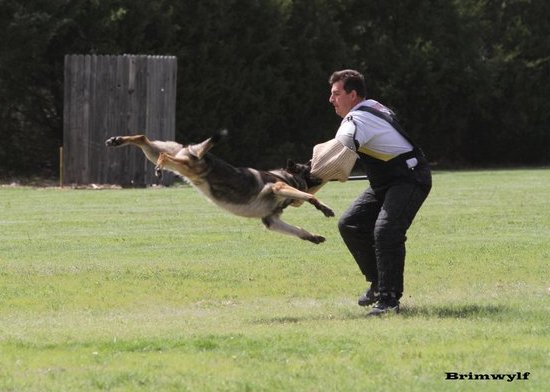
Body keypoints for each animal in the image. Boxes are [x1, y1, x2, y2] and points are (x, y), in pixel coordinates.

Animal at [105, 130, 334, 243]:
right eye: (308, 167)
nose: (316, 164)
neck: (286, 176)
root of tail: (196, 151)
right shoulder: (277, 187)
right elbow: (309, 196)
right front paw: (323, 207)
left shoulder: (271, 221)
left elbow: (298, 230)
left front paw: (312, 237)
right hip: (186, 165)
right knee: (163, 155)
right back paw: (160, 166)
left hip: (170, 155)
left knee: (144, 139)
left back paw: (117, 140)